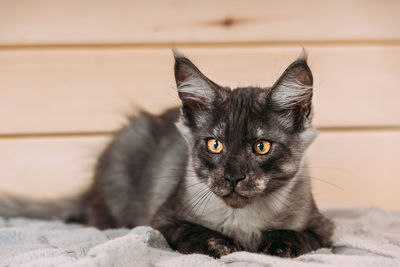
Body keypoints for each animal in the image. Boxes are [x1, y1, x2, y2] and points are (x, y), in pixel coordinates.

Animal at [0, 50, 334, 260]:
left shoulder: (322, 227)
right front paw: (223, 246)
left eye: (261, 146)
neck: (243, 220)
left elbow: (296, 236)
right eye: (215, 145)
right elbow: (195, 232)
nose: (233, 177)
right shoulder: (160, 220)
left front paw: (274, 247)